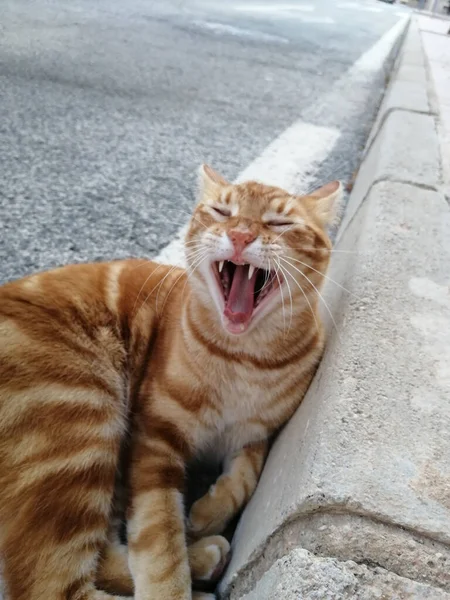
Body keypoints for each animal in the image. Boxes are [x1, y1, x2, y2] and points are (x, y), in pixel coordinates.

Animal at [0, 164, 342, 600]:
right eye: (222, 212)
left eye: (278, 223)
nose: (240, 235)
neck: (243, 360)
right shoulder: (155, 440)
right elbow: (159, 541)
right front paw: (176, 570)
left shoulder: (253, 434)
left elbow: (246, 477)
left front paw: (207, 513)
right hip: (83, 426)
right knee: (55, 584)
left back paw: (204, 556)